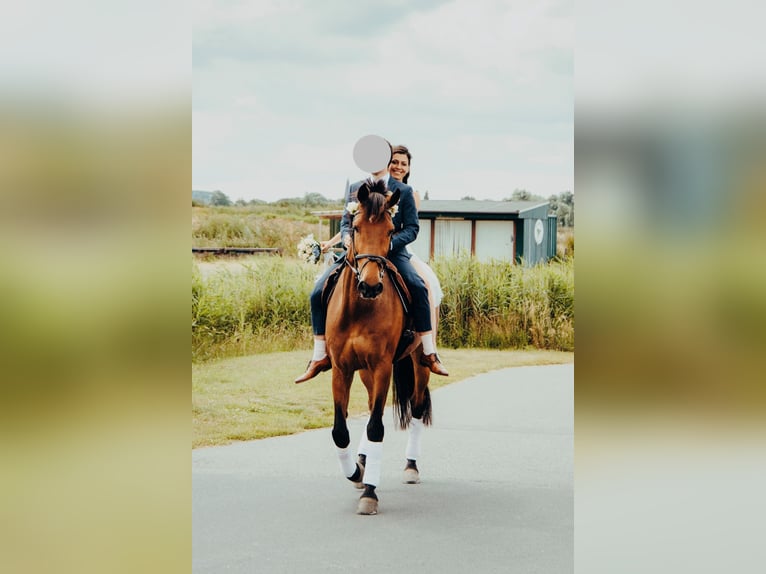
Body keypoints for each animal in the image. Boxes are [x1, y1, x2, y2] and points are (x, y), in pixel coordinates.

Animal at [324, 180, 432, 516]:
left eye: (390, 231)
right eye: (356, 227)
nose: (370, 286)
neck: (360, 309)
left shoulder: (383, 366)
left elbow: (375, 429)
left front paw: (370, 492)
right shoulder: (342, 369)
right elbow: (340, 431)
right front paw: (356, 473)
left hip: (418, 362)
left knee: (416, 407)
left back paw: (411, 466)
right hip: (366, 372)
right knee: (375, 406)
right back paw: (362, 461)